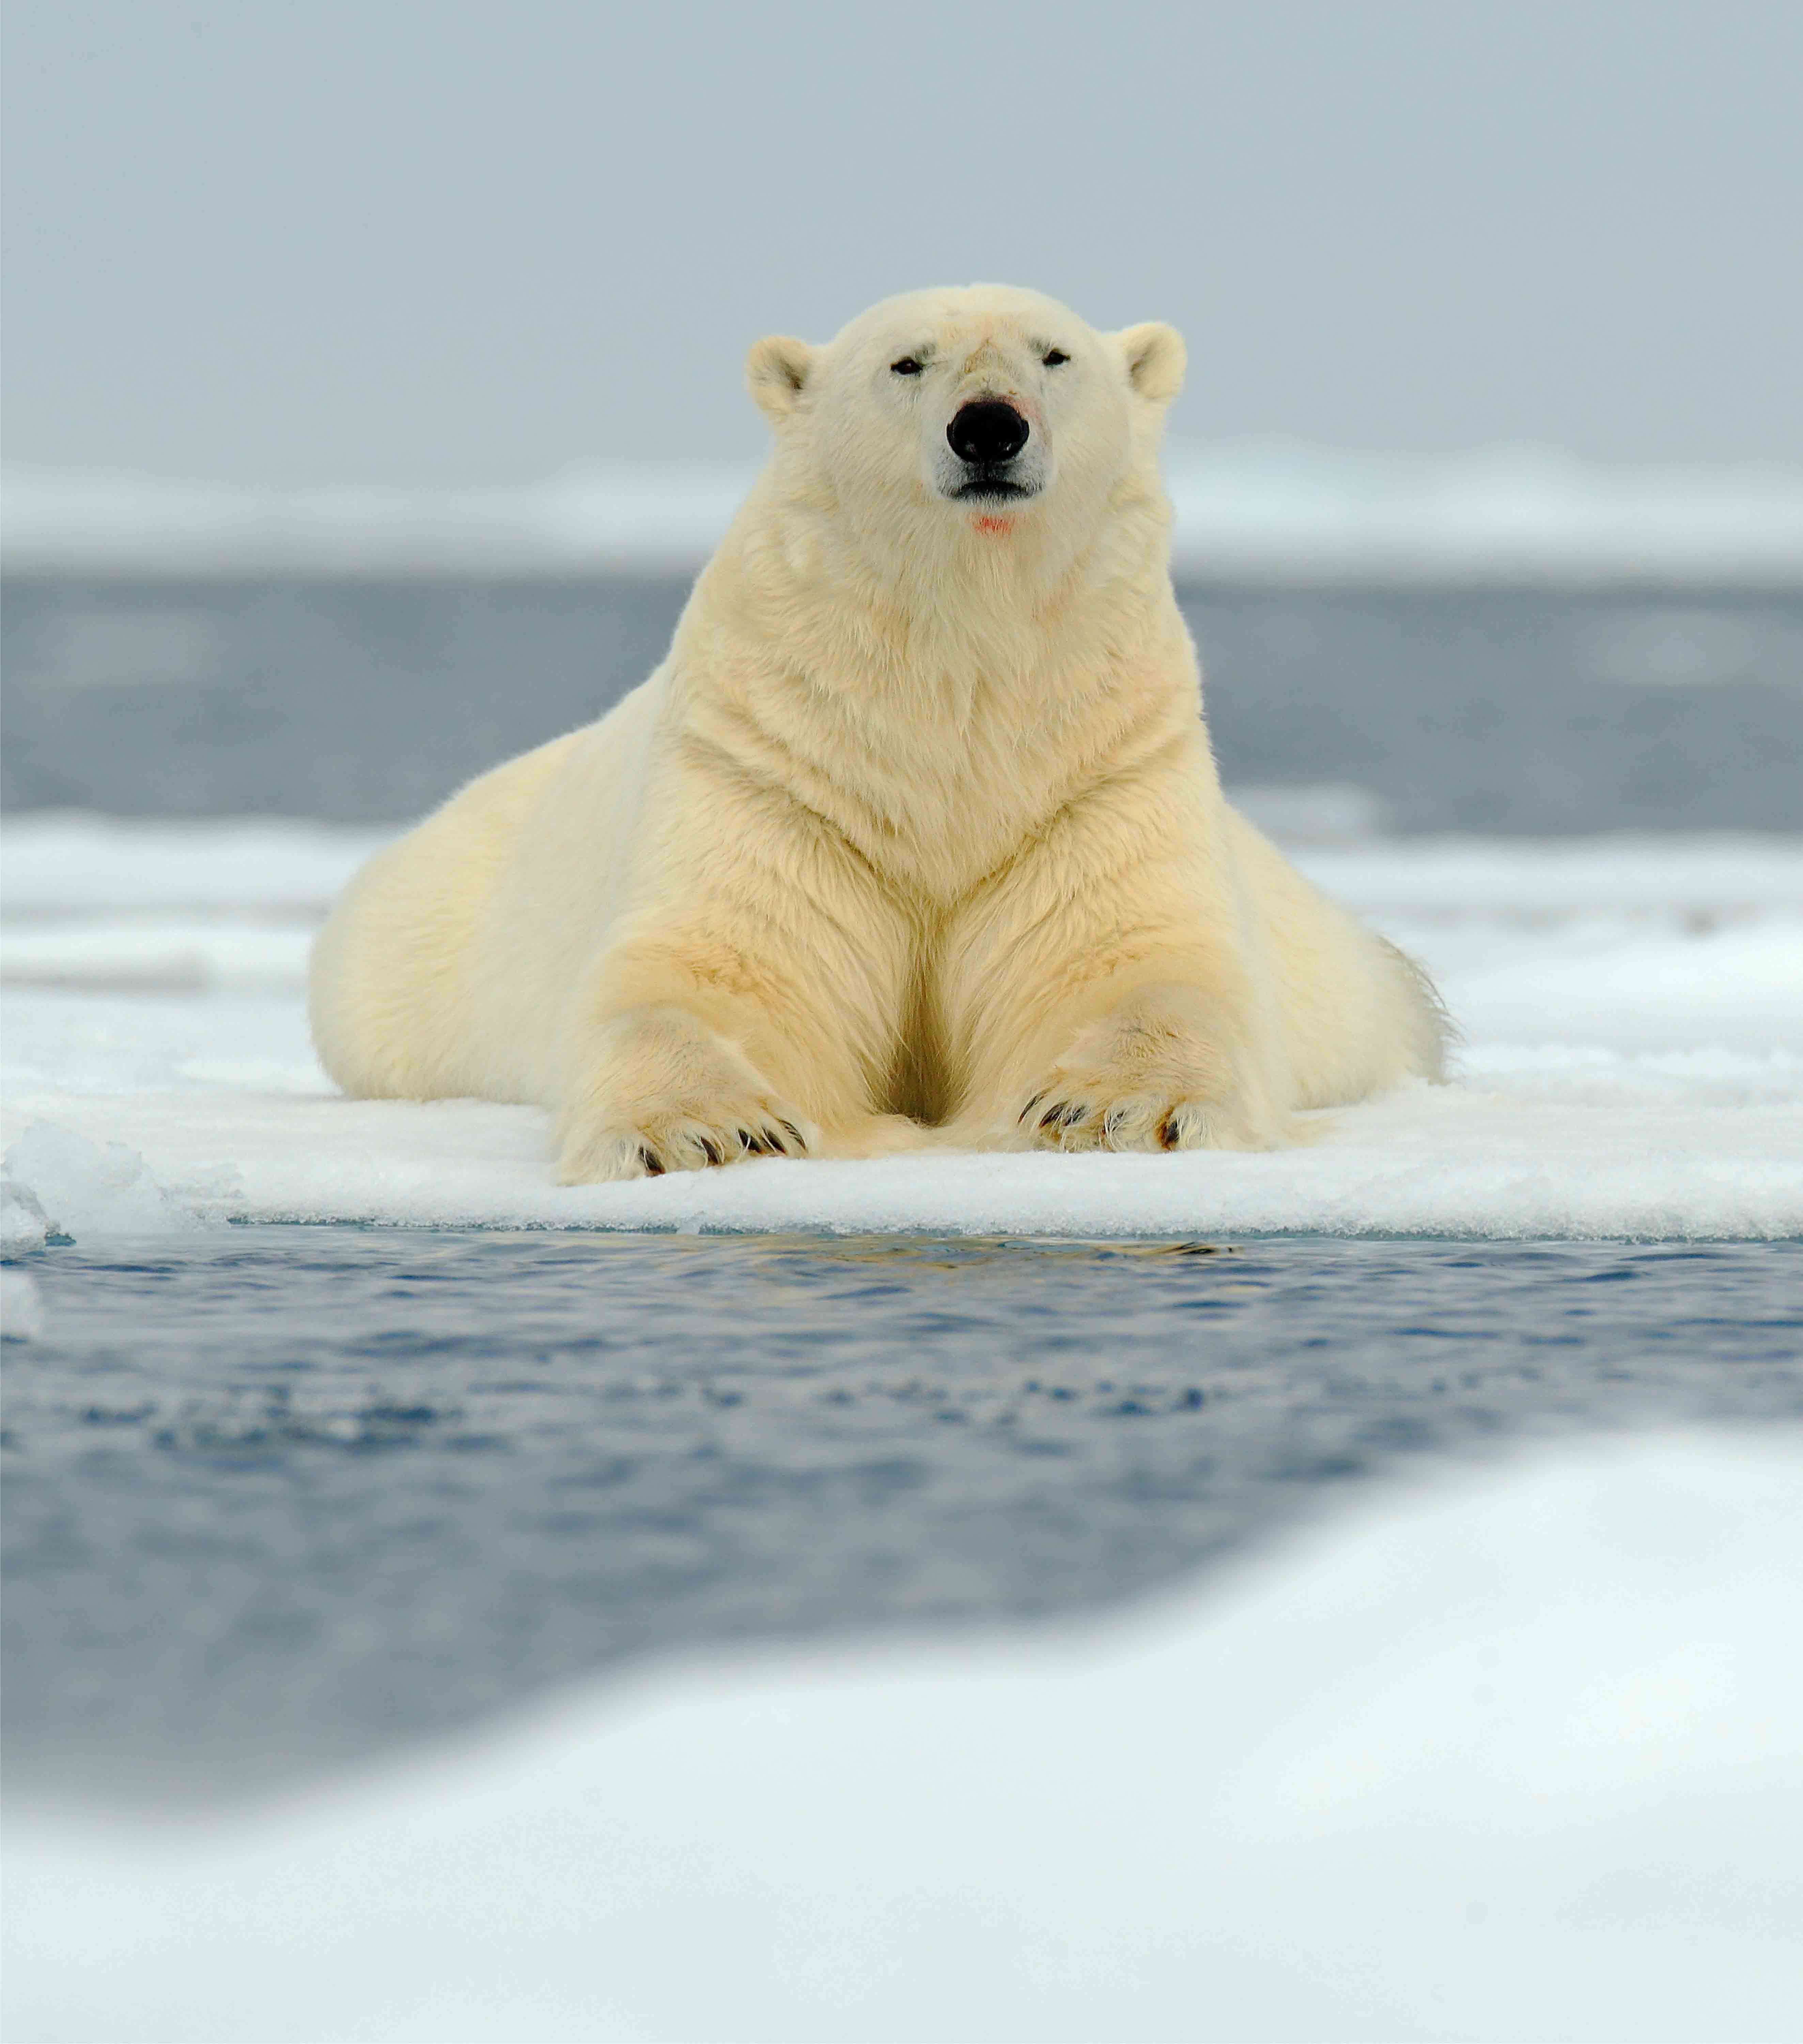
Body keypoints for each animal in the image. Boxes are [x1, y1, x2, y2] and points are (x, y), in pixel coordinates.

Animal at [308, 284, 1447, 1182]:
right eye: (906, 360)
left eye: (1054, 354)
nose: (988, 426)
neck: (957, 673)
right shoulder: (771, 767)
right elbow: (711, 971)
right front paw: (704, 1132)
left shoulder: (1096, 769)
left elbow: (1137, 960)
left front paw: (1117, 1110)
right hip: (399, 956)